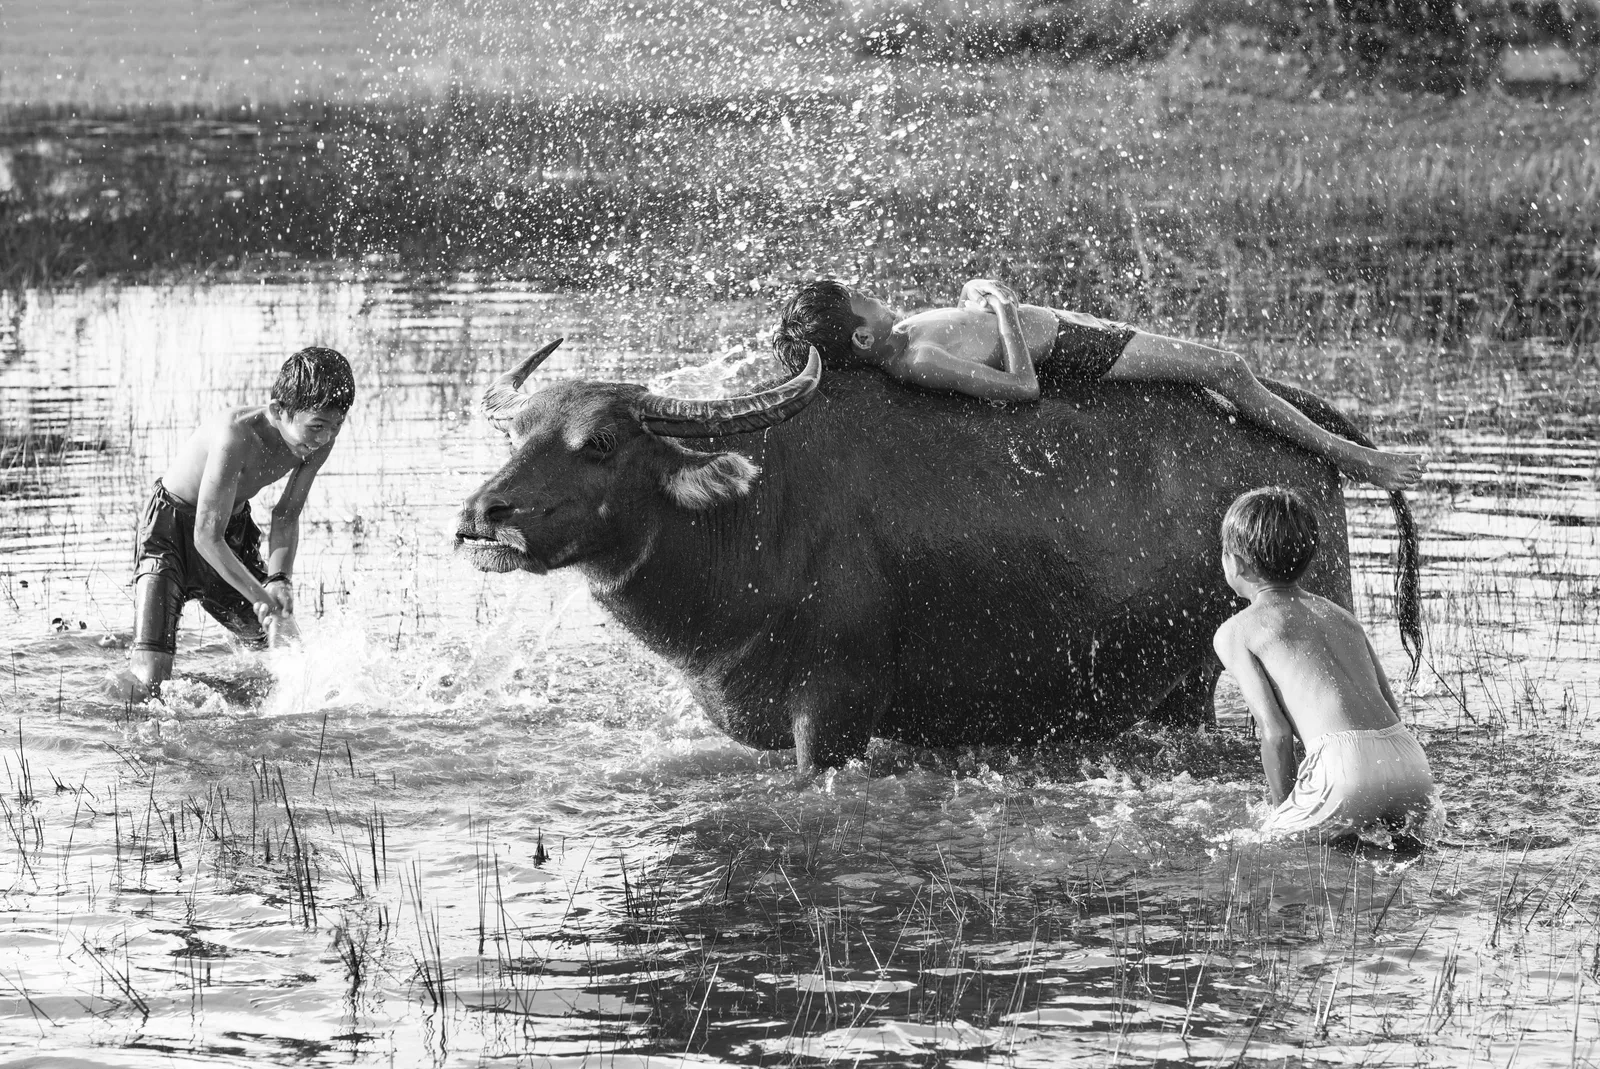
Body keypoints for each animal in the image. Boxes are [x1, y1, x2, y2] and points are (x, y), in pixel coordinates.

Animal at [457, 339, 1419, 771]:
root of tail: (1308, 433)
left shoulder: (833, 717)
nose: (480, 515)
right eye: (516, 430)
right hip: (1181, 683)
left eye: (600, 441)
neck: (757, 519)